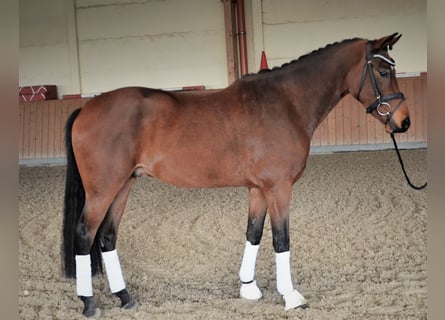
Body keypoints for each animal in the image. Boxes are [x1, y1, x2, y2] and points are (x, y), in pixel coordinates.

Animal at [61, 32, 410, 316]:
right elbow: (281, 239)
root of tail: (86, 109)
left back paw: (125, 297)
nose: (404, 122)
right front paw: (291, 296)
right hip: (103, 190)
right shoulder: (279, 188)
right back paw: (89, 303)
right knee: (85, 234)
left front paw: (249, 288)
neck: (285, 103)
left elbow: (253, 233)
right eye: (383, 71)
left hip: (123, 186)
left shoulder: (259, 189)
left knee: (107, 237)